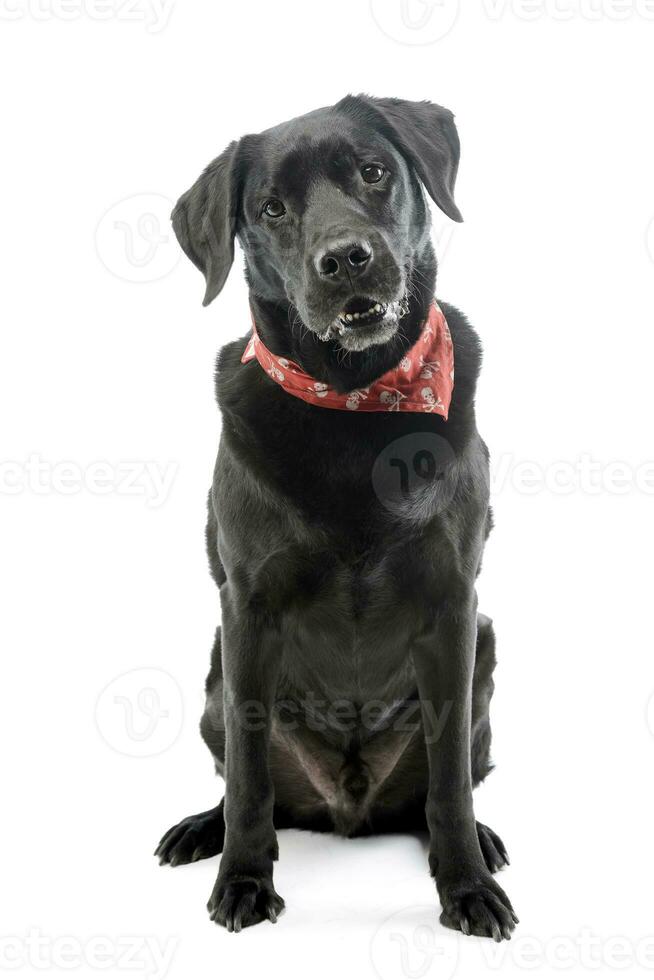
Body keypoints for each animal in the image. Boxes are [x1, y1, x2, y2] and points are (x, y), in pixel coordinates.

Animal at [156, 94, 520, 940]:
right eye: (270, 209)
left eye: (374, 171)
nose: (346, 258)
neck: (355, 402)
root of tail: (347, 807)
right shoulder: (247, 608)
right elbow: (250, 779)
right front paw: (243, 879)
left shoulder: (454, 605)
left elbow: (449, 785)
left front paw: (466, 886)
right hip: (216, 671)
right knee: (244, 778)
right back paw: (203, 829)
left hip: (485, 653)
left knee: (440, 789)